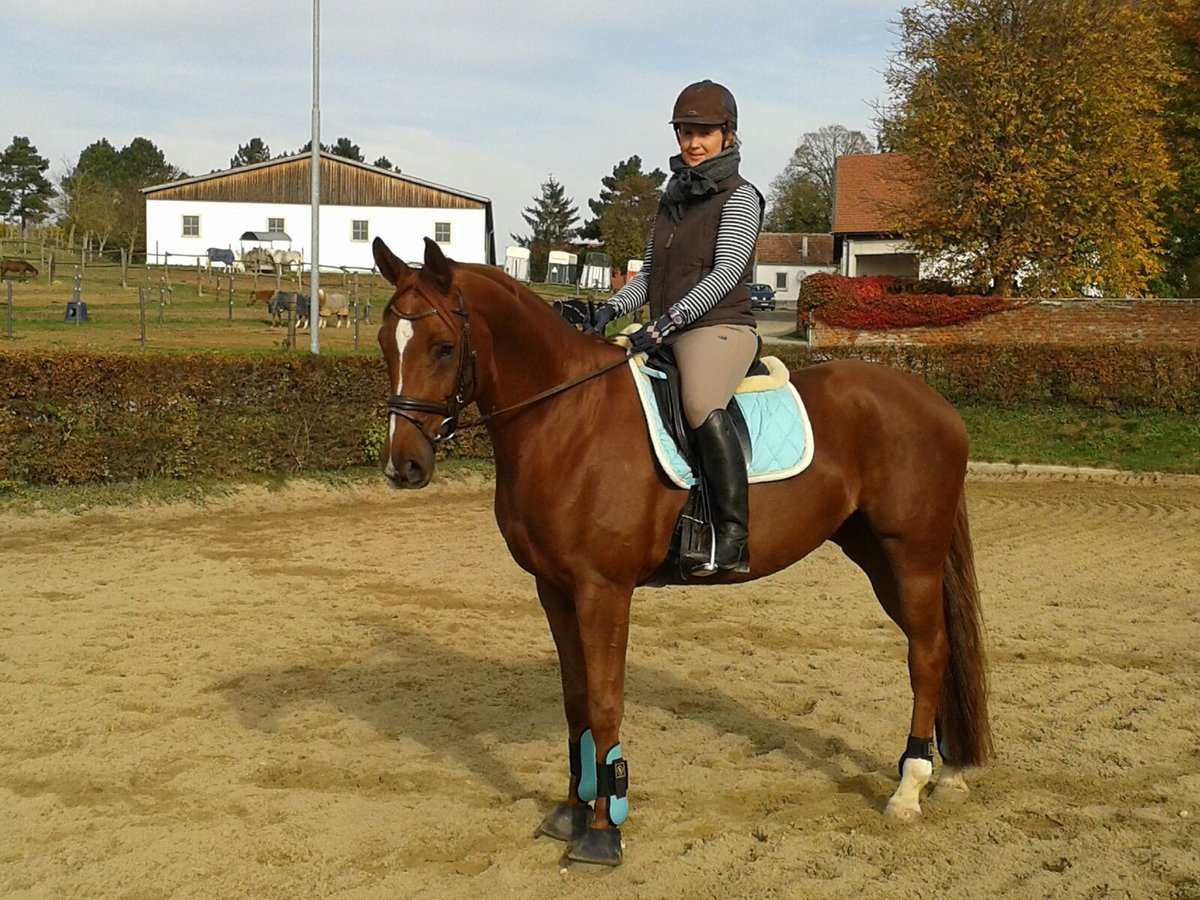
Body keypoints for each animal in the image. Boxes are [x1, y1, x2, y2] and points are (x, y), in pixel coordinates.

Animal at [374, 237, 993, 868]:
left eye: (444, 346)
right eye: (383, 341)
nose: (404, 467)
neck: (567, 420)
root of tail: (934, 402)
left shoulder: (603, 590)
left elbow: (604, 703)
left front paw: (604, 831)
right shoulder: (555, 589)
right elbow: (575, 702)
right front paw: (572, 812)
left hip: (910, 557)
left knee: (928, 654)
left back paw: (910, 788)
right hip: (878, 558)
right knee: (936, 648)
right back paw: (946, 774)